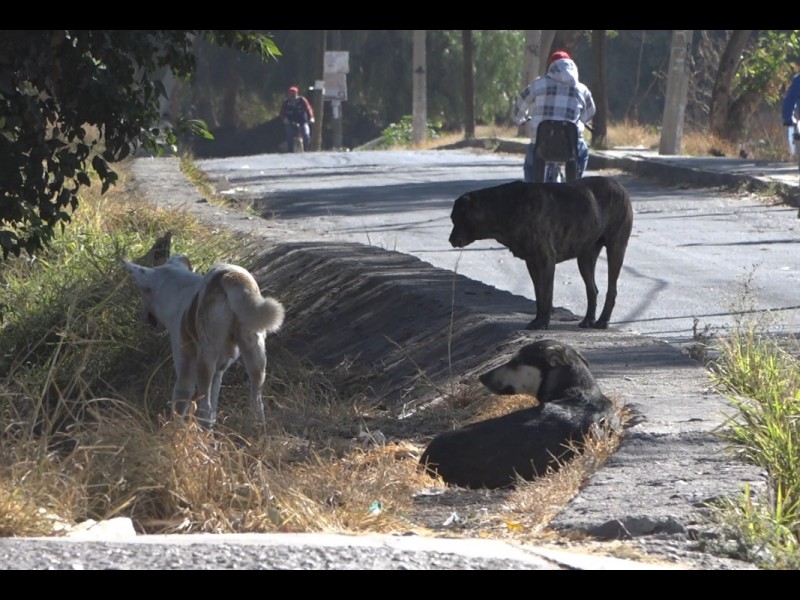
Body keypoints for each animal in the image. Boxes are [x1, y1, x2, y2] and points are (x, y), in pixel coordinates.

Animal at [123, 253, 286, 426]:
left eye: (143, 292)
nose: (140, 316)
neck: (178, 291)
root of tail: (229, 275)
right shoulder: (218, 372)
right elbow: (213, 406)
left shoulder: (185, 373)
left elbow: (179, 407)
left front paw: (172, 430)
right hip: (255, 357)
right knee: (256, 403)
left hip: (205, 362)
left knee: (205, 408)